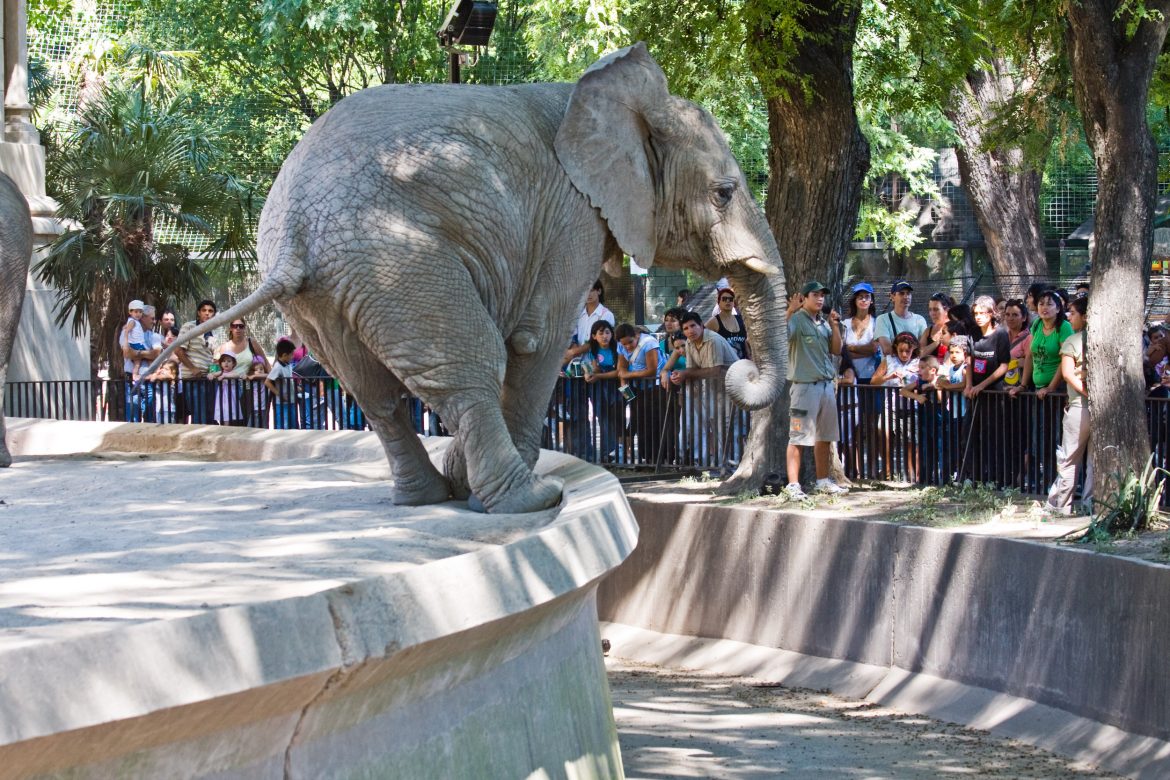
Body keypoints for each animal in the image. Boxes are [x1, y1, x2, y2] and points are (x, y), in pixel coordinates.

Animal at [143, 45, 786, 514]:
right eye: (724, 193)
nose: (740, 368)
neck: (619, 101)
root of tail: (294, 239)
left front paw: (460, 479)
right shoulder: (571, 217)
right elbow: (536, 341)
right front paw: (489, 484)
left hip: (332, 295)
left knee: (373, 394)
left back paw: (429, 496)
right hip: (399, 259)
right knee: (468, 366)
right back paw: (527, 499)